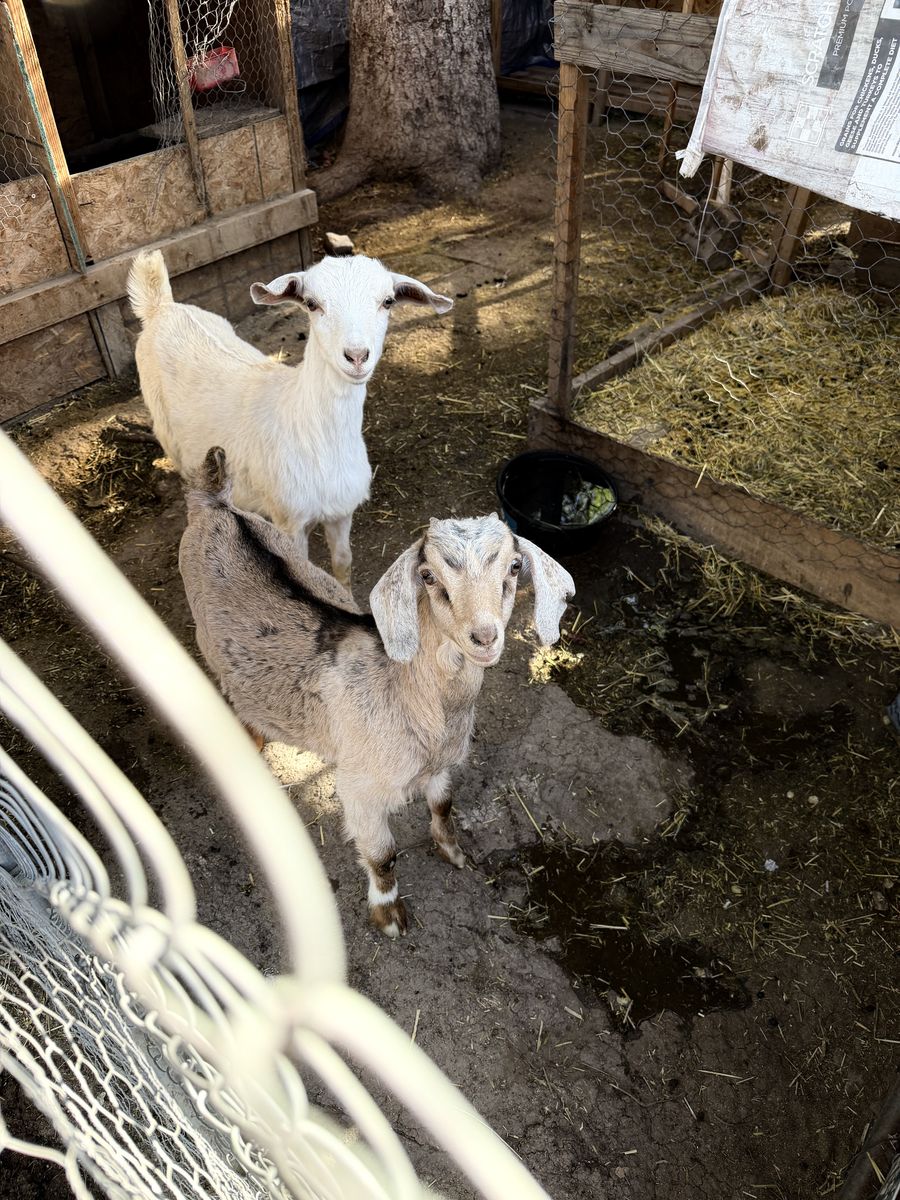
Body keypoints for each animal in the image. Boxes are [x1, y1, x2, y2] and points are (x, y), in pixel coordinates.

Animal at [127, 250, 453, 589]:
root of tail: (161, 306)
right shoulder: (289, 519)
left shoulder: (341, 512)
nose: (356, 356)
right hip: (169, 436)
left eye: (388, 301)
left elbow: (343, 564)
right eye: (311, 303)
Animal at [179, 448, 575, 937]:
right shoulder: (361, 788)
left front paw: (453, 851)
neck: (414, 699)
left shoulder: (441, 765)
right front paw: (389, 916)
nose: (484, 636)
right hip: (205, 634)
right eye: (428, 576)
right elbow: (382, 855)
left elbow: (444, 804)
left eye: (515, 567)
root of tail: (215, 503)